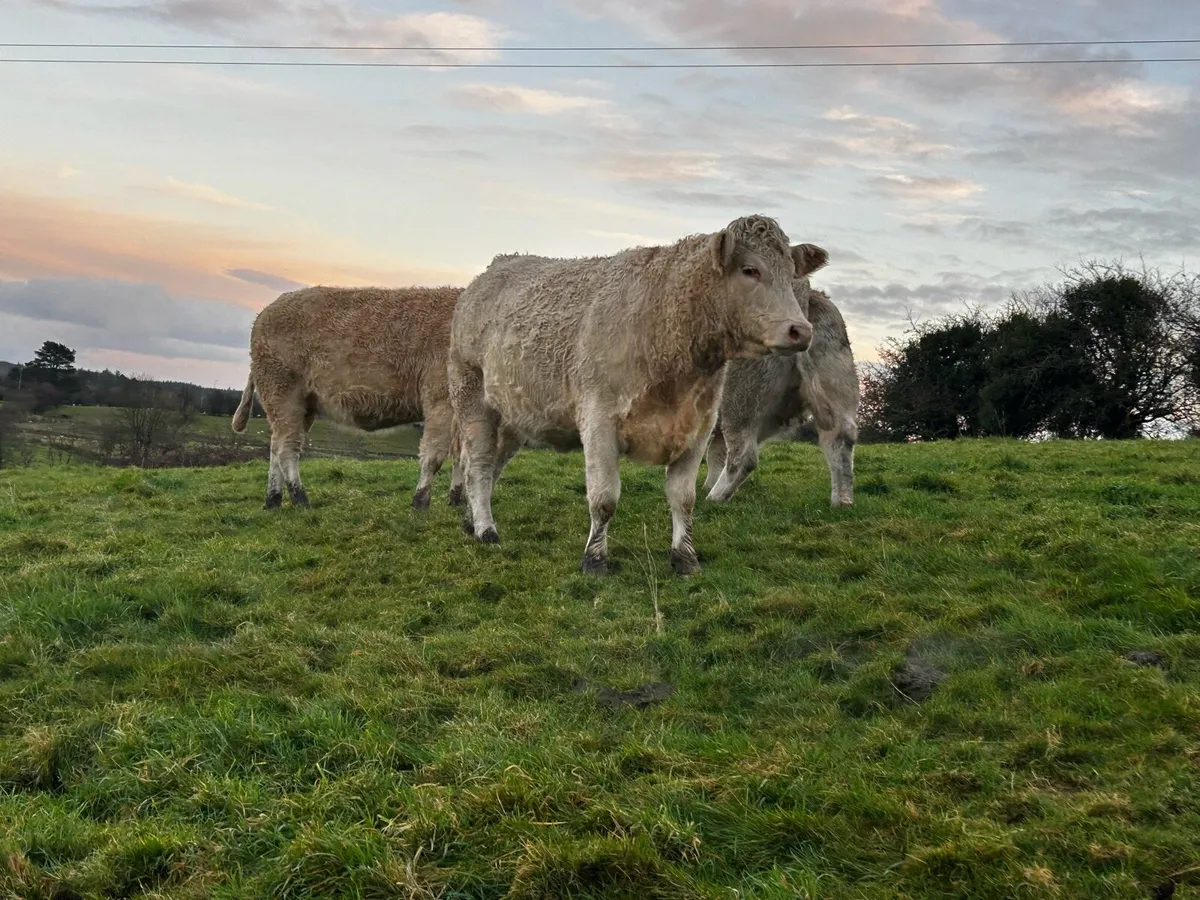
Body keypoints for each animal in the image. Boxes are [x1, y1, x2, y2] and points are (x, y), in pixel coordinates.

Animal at [231, 285, 466, 511]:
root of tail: (266, 311)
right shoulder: (440, 397)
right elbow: (434, 456)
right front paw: (420, 503)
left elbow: (461, 455)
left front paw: (459, 501)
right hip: (282, 390)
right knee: (286, 448)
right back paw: (300, 500)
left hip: (301, 404)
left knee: (275, 446)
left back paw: (273, 500)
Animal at [447, 214, 828, 576]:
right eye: (750, 269)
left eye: (790, 273)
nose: (800, 330)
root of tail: (499, 265)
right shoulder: (598, 420)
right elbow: (603, 498)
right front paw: (595, 559)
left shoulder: (698, 427)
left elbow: (683, 498)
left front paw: (684, 557)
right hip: (471, 396)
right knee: (478, 464)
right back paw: (485, 529)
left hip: (514, 415)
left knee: (493, 464)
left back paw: (471, 519)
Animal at [704, 281, 859, 507]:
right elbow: (714, 455)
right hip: (837, 384)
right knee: (840, 440)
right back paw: (842, 502)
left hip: (740, 397)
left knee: (744, 456)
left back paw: (714, 498)